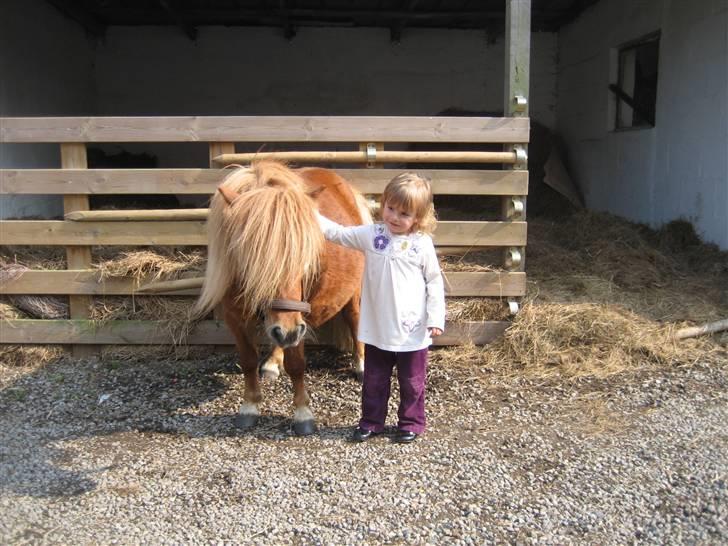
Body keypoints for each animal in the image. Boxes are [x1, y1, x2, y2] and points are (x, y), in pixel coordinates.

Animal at [193, 158, 370, 434]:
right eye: (250, 257)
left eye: (305, 258)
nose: (287, 331)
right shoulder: (235, 317)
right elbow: (248, 360)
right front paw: (250, 405)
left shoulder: (299, 318)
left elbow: (296, 365)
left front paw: (302, 413)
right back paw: (273, 362)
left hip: (351, 293)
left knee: (354, 318)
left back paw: (360, 364)